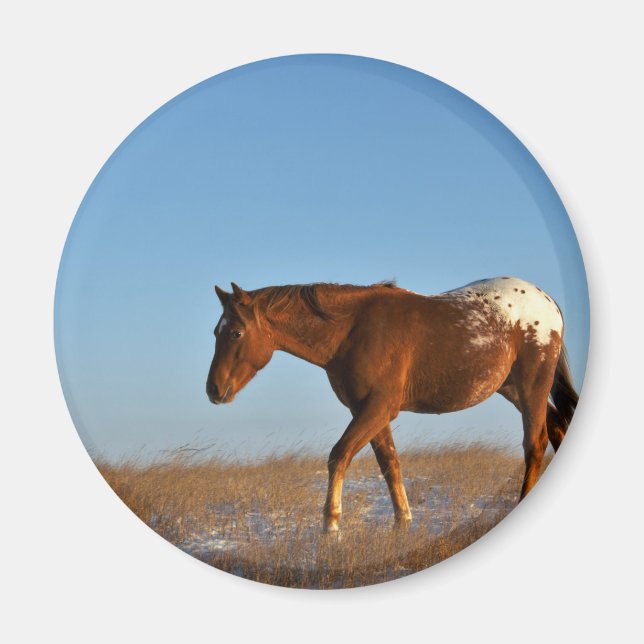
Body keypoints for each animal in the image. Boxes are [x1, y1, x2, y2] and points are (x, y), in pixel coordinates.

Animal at [206, 277, 578, 533]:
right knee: (556, 427)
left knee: (535, 444)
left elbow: (339, 456)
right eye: (215, 332)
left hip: (531, 386)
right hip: (513, 389)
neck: (351, 330)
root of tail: (548, 302)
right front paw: (402, 523)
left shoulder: (378, 409)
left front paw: (331, 527)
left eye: (236, 333)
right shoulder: (367, 412)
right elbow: (390, 464)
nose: (213, 389)